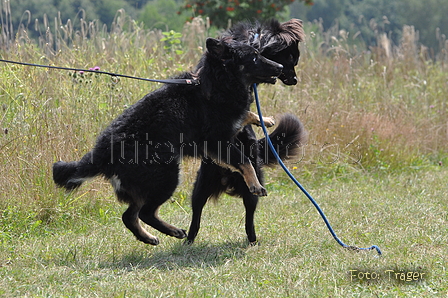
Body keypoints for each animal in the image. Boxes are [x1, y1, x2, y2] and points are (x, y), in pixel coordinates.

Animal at [53, 37, 284, 246]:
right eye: (254, 56)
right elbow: (244, 160)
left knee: (129, 216)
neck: (218, 82)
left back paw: (148, 237)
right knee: (145, 213)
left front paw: (264, 119)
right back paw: (173, 231)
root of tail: (102, 151)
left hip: (146, 183)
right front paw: (255, 184)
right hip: (166, 176)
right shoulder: (217, 141)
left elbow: (245, 116)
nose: (281, 66)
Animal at [184, 19, 306, 246]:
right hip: (201, 186)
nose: (294, 80)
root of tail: (228, 179)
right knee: (197, 214)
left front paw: (263, 120)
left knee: (249, 216)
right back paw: (188, 240)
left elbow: (247, 113)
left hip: (251, 192)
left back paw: (252, 241)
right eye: (291, 58)